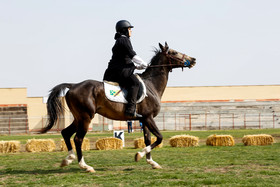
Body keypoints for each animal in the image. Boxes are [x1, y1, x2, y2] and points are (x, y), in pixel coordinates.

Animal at [40, 42, 196, 172]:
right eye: (174, 52)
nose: (193, 59)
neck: (152, 85)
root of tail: (73, 85)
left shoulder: (144, 119)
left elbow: (148, 139)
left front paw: (151, 162)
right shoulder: (148, 117)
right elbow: (159, 138)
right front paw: (138, 155)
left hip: (79, 118)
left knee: (66, 133)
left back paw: (68, 160)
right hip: (85, 118)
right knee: (78, 139)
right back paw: (85, 166)